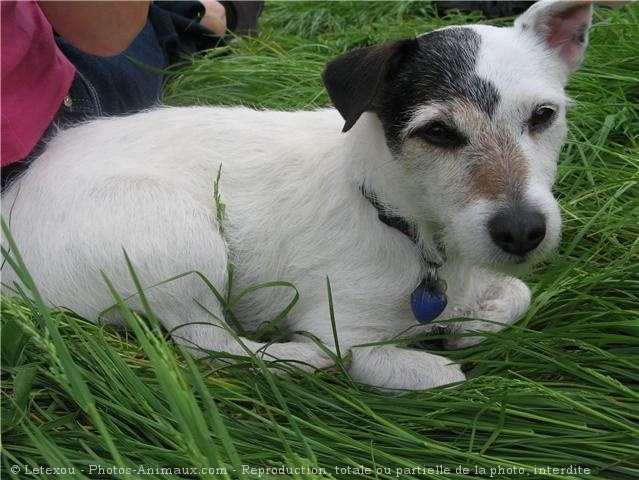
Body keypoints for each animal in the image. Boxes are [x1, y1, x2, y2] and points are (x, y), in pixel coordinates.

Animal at [2, 0, 596, 390]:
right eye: (438, 133)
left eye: (544, 116)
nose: (522, 231)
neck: (400, 221)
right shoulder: (338, 325)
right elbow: (389, 362)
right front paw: (427, 362)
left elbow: (518, 293)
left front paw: (473, 324)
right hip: (178, 237)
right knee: (204, 341)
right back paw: (295, 359)